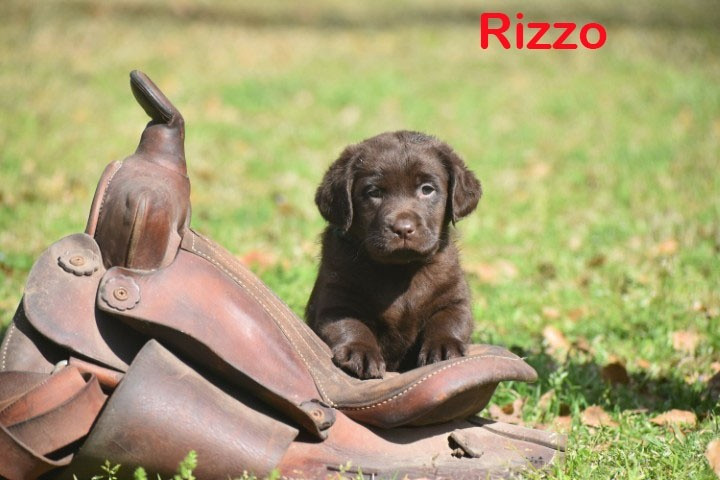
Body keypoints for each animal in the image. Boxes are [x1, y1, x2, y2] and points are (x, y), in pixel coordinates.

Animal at [306, 131, 482, 379]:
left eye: (427, 189)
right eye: (374, 192)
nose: (403, 228)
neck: (400, 270)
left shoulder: (453, 297)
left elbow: (449, 320)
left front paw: (444, 347)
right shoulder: (336, 301)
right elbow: (351, 326)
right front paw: (361, 353)